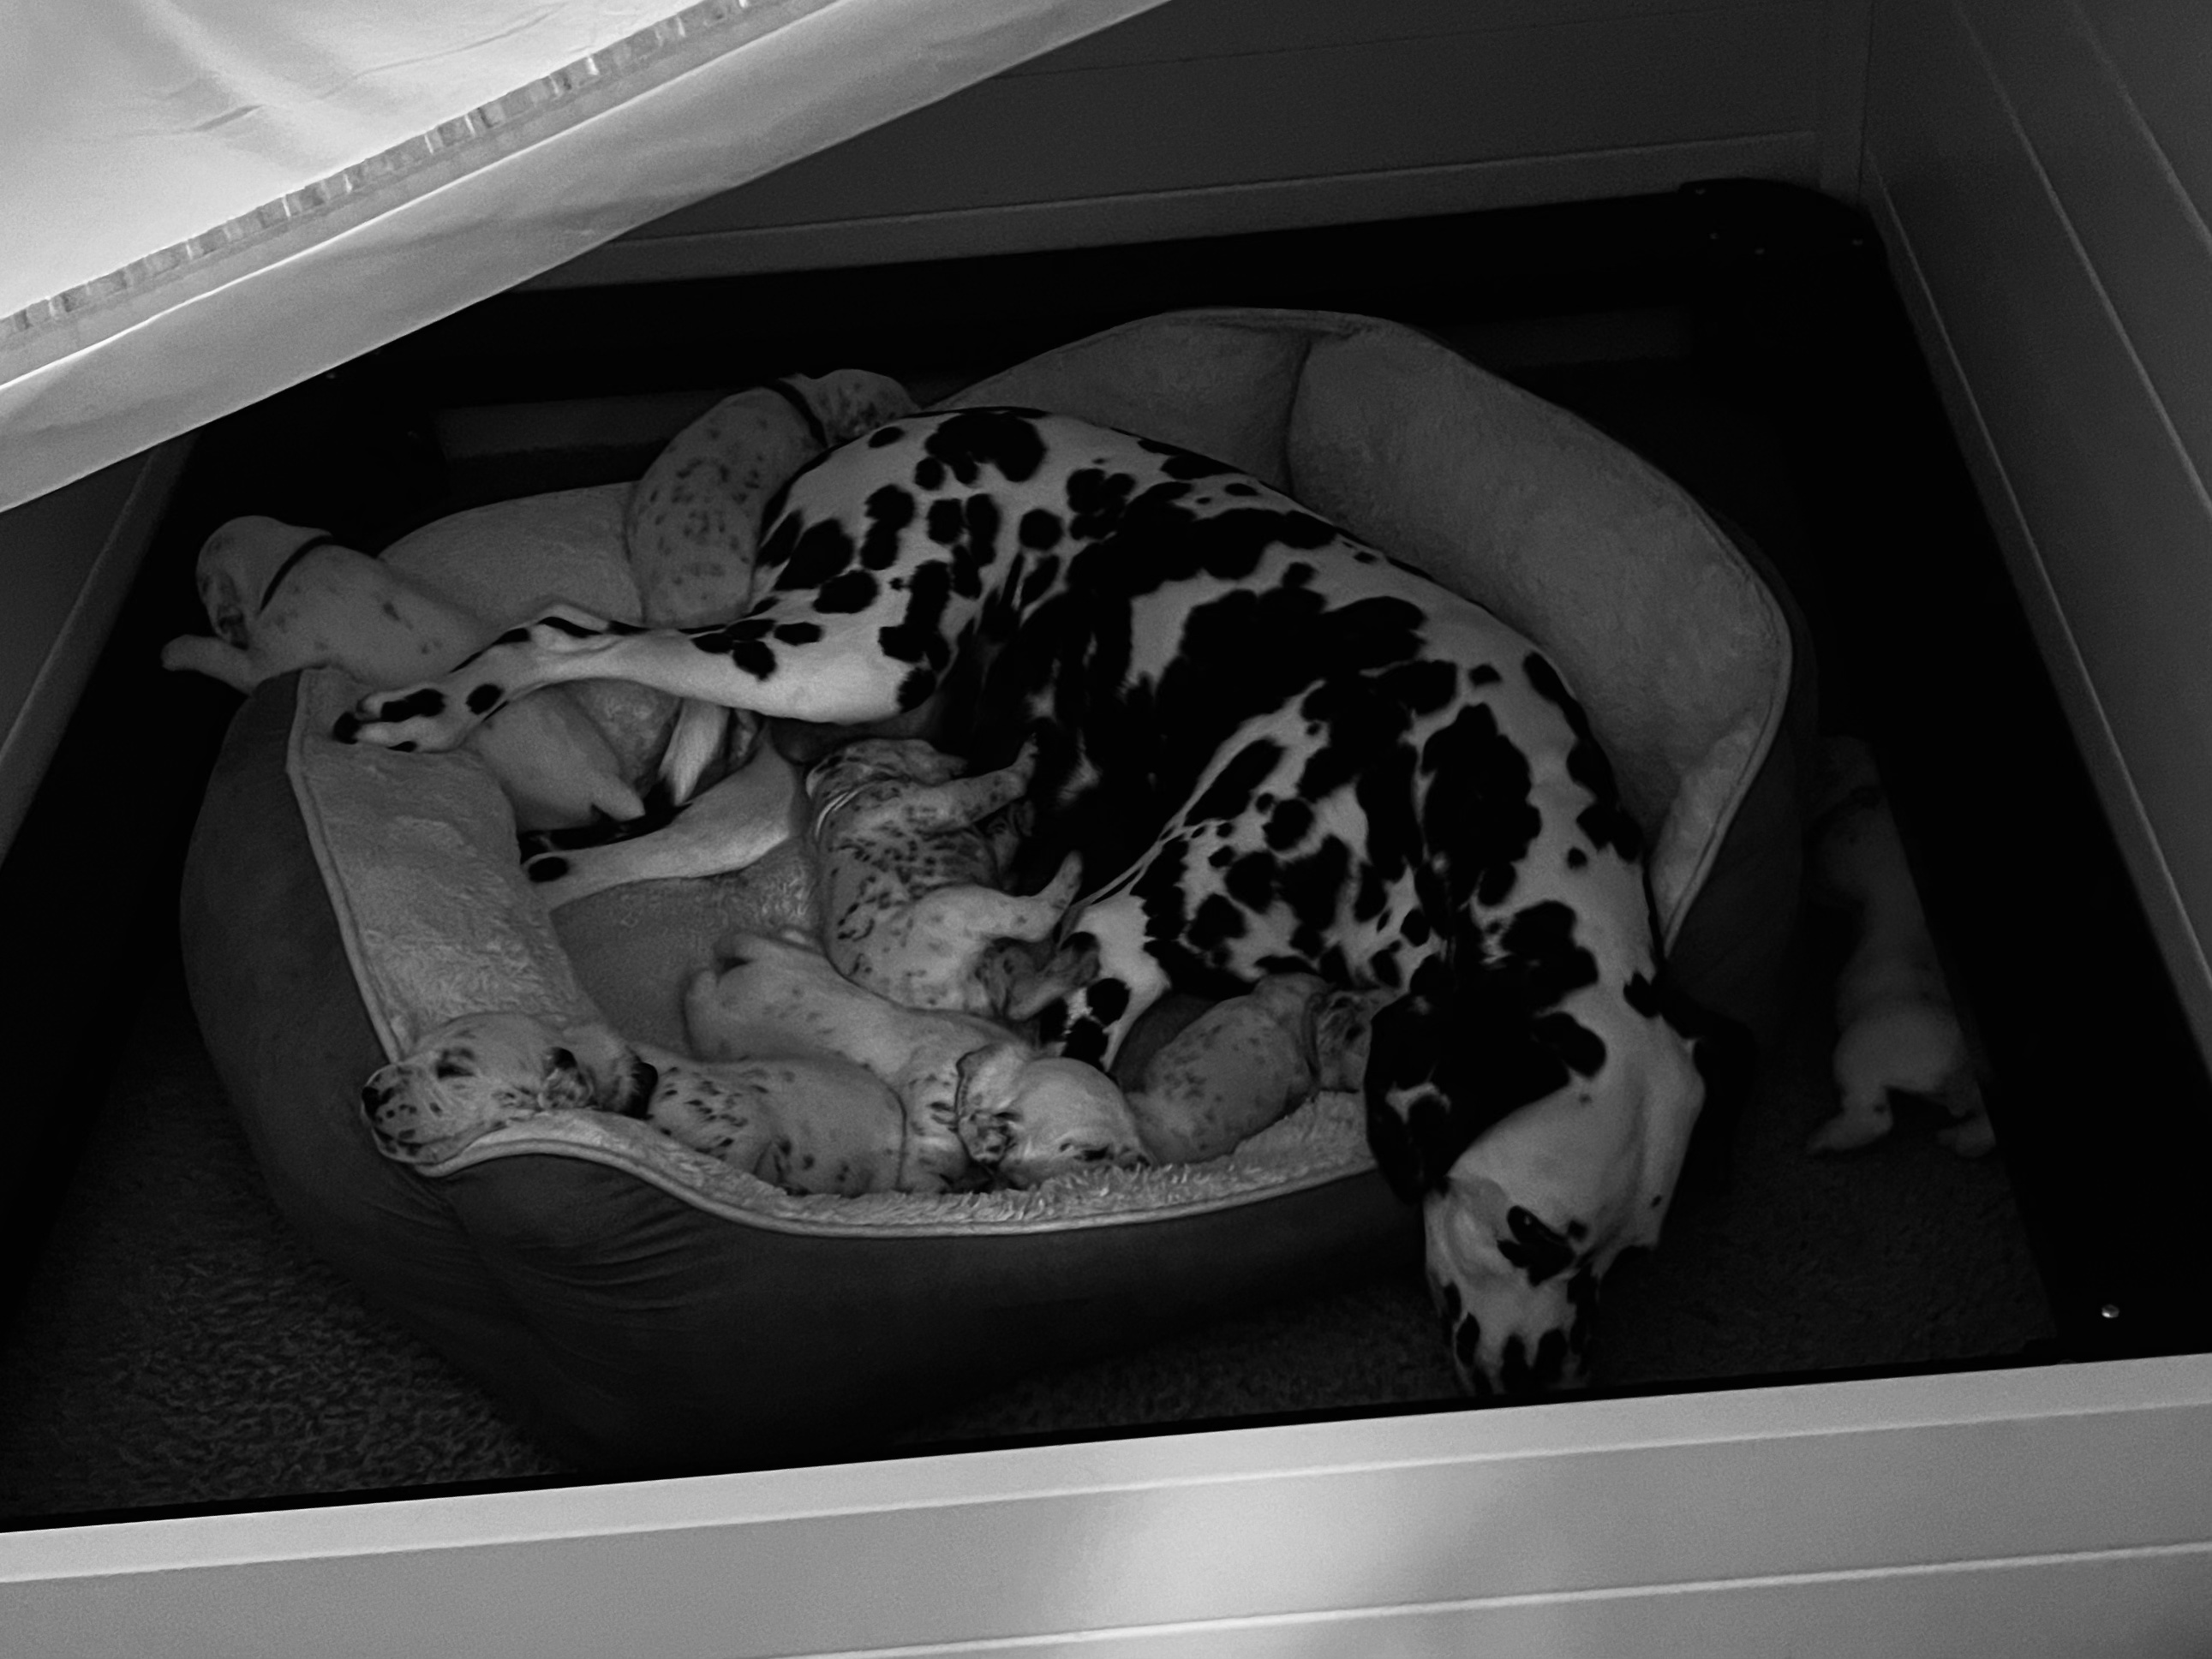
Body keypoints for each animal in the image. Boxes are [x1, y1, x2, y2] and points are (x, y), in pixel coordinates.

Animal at [685, 931, 1147, 1189]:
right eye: (1091, 1153)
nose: (1146, 1164)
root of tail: (729, 971)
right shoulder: (927, 1158)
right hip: (707, 1016)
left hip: (798, 956)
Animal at [1807, 736, 1991, 1158]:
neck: (1869, 787)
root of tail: (1962, 1066)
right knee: (1984, 1132)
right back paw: (1955, 1139)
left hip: (1858, 1051)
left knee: (1872, 1119)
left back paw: (1822, 1139)